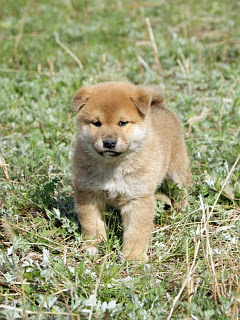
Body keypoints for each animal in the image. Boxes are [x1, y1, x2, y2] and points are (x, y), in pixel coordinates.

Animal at [72, 81, 190, 262]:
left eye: (122, 123)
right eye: (96, 123)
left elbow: (136, 232)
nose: (109, 142)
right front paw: (93, 246)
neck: (112, 167)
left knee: (181, 192)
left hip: (177, 173)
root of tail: (160, 106)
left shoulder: (138, 198)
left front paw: (134, 257)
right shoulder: (88, 194)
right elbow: (92, 224)